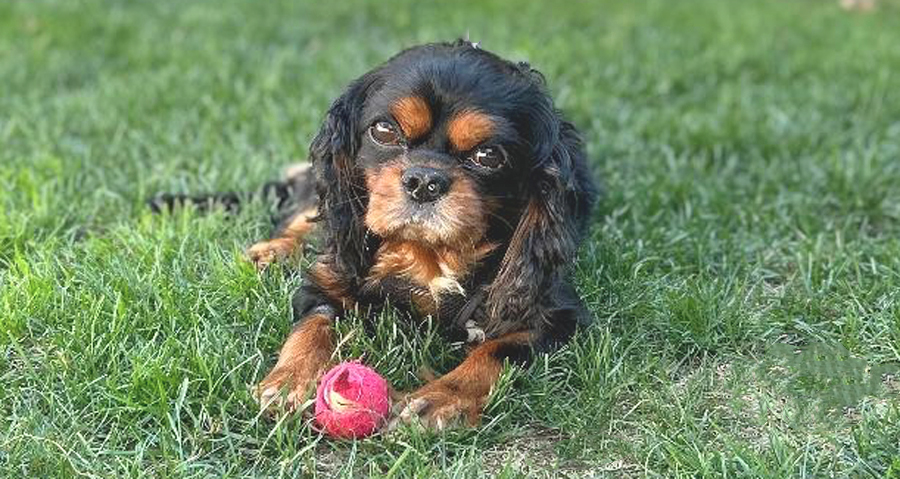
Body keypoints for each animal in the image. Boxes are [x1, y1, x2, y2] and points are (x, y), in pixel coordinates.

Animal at [152, 41, 600, 432]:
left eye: (488, 155)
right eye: (384, 131)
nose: (424, 181)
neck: (428, 254)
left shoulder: (555, 314)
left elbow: (497, 351)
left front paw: (443, 398)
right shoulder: (328, 279)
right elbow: (314, 323)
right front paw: (291, 380)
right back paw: (273, 251)